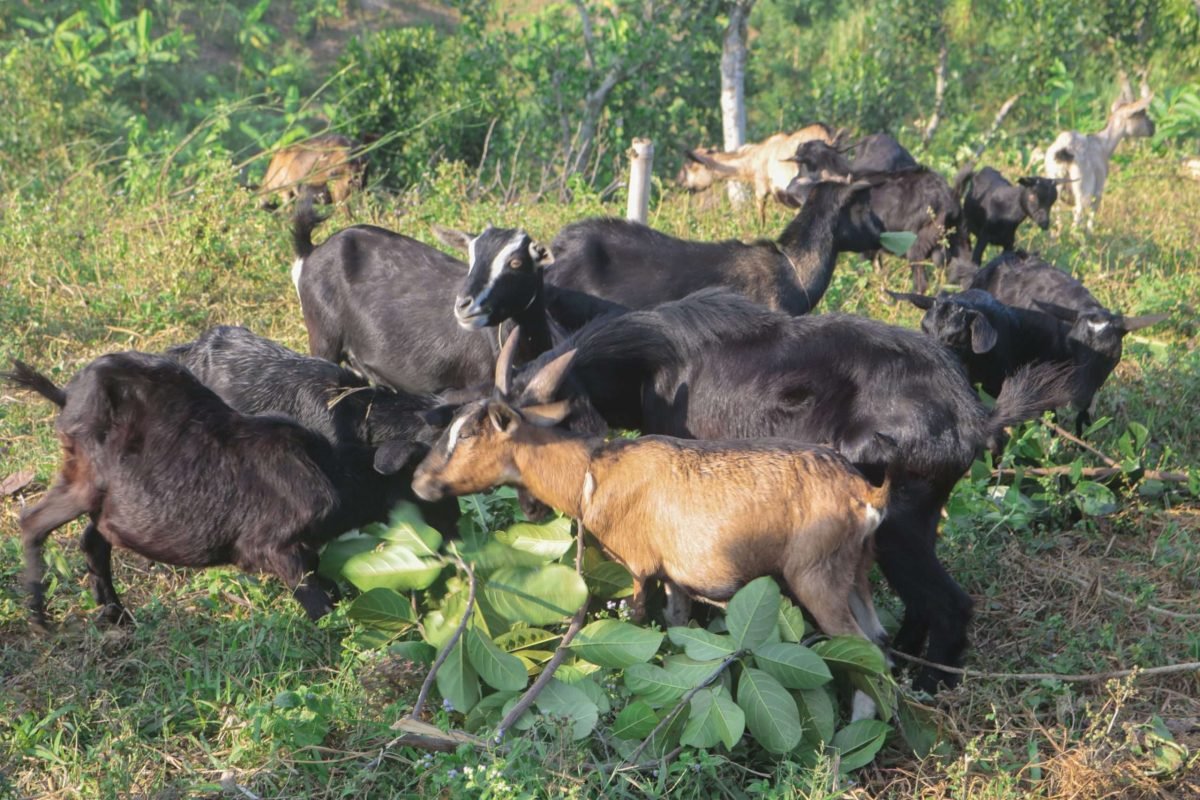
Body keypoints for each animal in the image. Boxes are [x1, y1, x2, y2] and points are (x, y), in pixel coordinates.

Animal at [7, 353, 437, 627]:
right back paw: (39, 616)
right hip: (83, 480)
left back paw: (115, 614)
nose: (442, 541)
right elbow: (320, 605)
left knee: (92, 540)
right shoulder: (273, 548)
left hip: (109, 503)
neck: (335, 470)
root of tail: (67, 396)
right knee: (33, 521)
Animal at [414, 332, 892, 718]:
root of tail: (866, 495)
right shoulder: (676, 575)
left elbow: (639, 618)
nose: (421, 481)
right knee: (880, 639)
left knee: (863, 648)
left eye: (468, 433)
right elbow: (677, 624)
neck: (594, 474)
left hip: (816, 574)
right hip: (855, 572)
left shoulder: (639, 566)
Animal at [461, 290, 1075, 692]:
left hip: (899, 520)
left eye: (547, 425)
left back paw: (926, 687)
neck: (650, 361)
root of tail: (974, 414)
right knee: (917, 603)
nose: (532, 506)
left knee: (949, 604)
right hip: (910, 525)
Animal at [786, 141, 969, 294]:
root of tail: (949, 198)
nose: (790, 188)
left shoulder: (865, 247)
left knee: (921, 284)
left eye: (803, 162)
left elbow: (863, 272)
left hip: (917, 246)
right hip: (959, 239)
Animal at [1044, 81, 1154, 231]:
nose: (1153, 127)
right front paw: (1090, 233)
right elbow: (1092, 216)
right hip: (1082, 186)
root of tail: (1065, 149)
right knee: (1078, 212)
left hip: (1054, 180)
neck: (1103, 144)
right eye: (1141, 113)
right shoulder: (1098, 190)